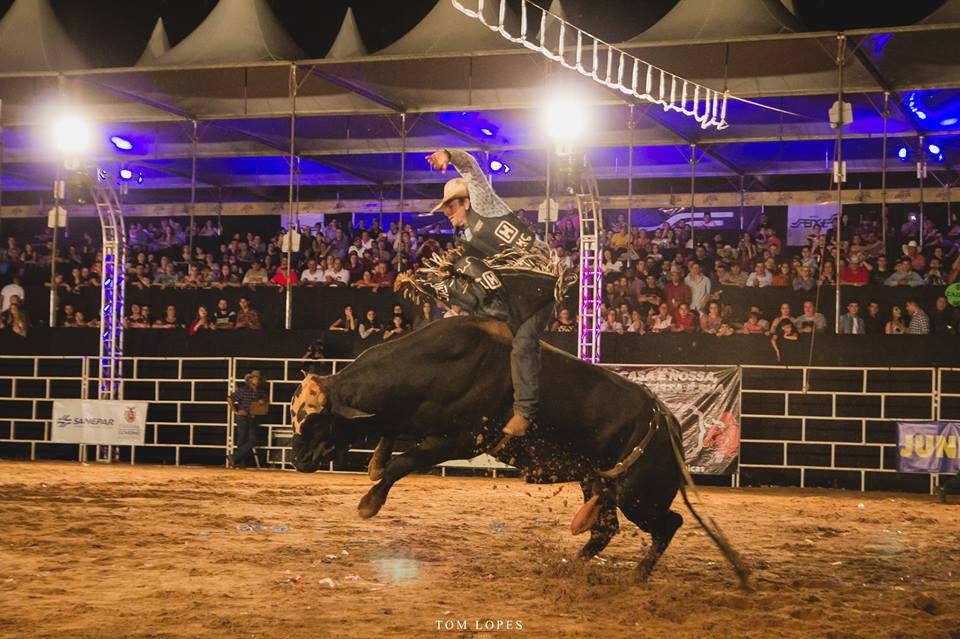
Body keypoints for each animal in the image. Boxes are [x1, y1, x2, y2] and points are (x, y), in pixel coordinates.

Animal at [288, 316, 748, 584]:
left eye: (317, 420)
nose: (298, 460)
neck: (437, 365)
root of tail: (666, 421)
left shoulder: (462, 439)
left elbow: (404, 461)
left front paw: (370, 501)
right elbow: (391, 437)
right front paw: (374, 463)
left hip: (641, 496)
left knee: (669, 523)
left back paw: (638, 575)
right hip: (600, 483)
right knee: (605, 529)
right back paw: (572, 566)